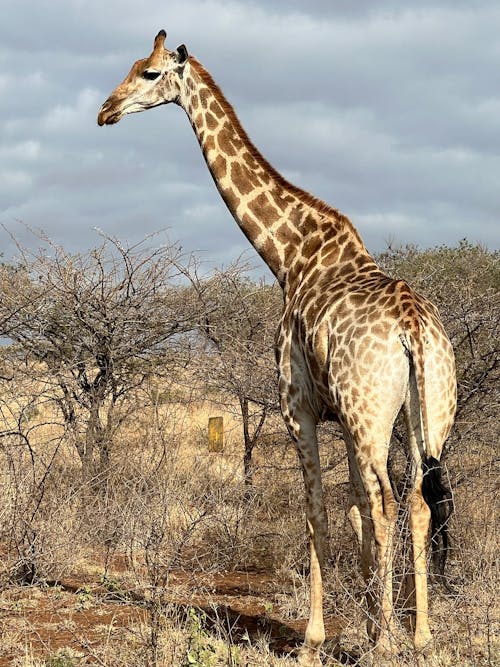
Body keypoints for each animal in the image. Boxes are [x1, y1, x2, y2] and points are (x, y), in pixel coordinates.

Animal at [97, 28, 458, 664]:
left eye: (148, 72)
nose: (105, 110)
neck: (288, 256)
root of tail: (414, 329)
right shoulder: (342, 417)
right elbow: (354, 508)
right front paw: (370, 622)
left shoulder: (300, 409)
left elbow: (318, 512)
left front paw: (322, 636)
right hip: (427, 412)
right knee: (413, 501)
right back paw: (420, 635)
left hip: (374, 414)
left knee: (390, 503)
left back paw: (394, 640)